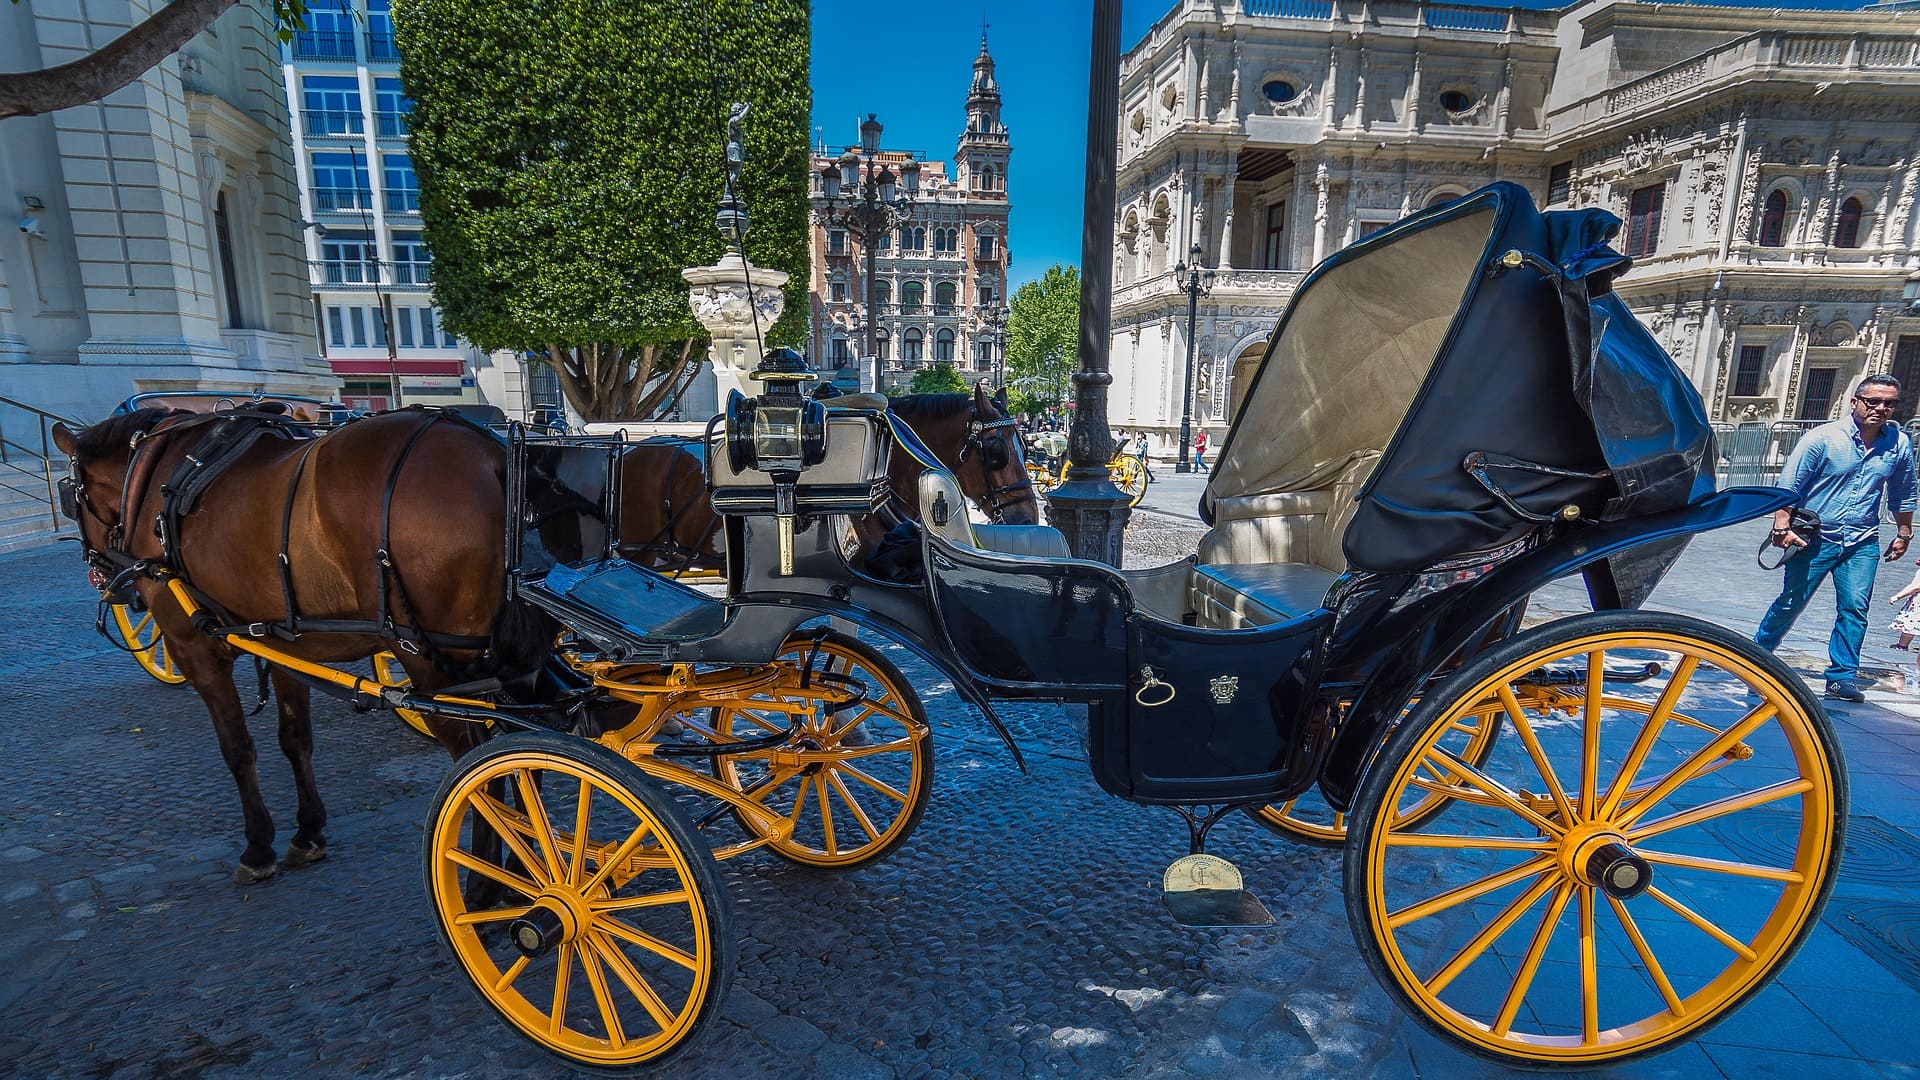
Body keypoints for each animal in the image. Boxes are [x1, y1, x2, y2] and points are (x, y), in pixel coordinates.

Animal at [56, 407, 537, 880]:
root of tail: (493, 454)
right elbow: (294, 738)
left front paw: (257, 846)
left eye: (69, 496)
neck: (153, 480)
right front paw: (307, 833)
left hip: (428, 658)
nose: (107, 579)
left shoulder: (193, 648)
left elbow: (236, 747)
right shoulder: (285, 646)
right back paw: (519, 866)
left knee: (478, 761)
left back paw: (486, 885)